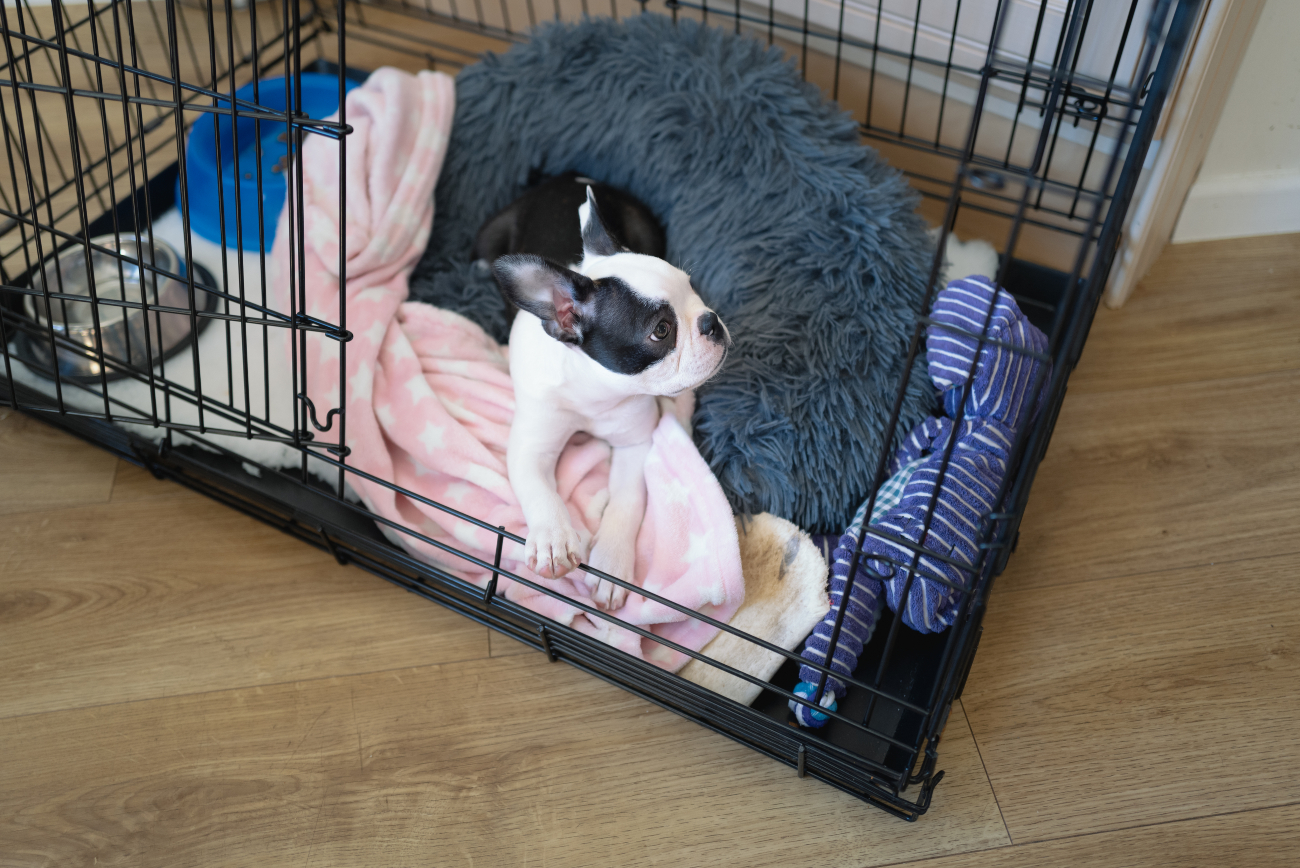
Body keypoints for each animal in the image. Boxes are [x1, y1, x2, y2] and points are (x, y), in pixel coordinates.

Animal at [486, 174, 733, 610]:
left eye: (692, 288)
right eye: (661, 331)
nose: (711, 322)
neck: (593, 389)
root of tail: (564, 176)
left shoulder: (635, 444)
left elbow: (626, 502)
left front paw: (611, 566)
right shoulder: (532, 445)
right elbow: (538, 490)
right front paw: (553, 539)